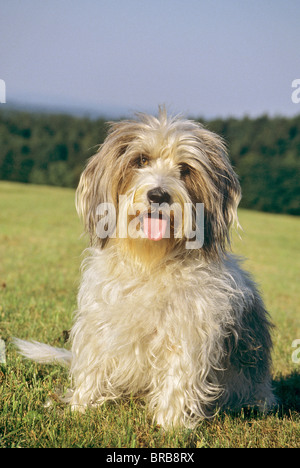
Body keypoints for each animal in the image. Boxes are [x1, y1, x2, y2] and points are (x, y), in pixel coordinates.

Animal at [15, 109, 276, 428]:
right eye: (141, 160)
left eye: (185, 169)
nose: (159, 195)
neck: (151, 262)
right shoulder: (100, 321)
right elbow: (93, 363)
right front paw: (81, 407)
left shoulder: (188, 332)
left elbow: (179, 377)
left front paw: (172, 425)